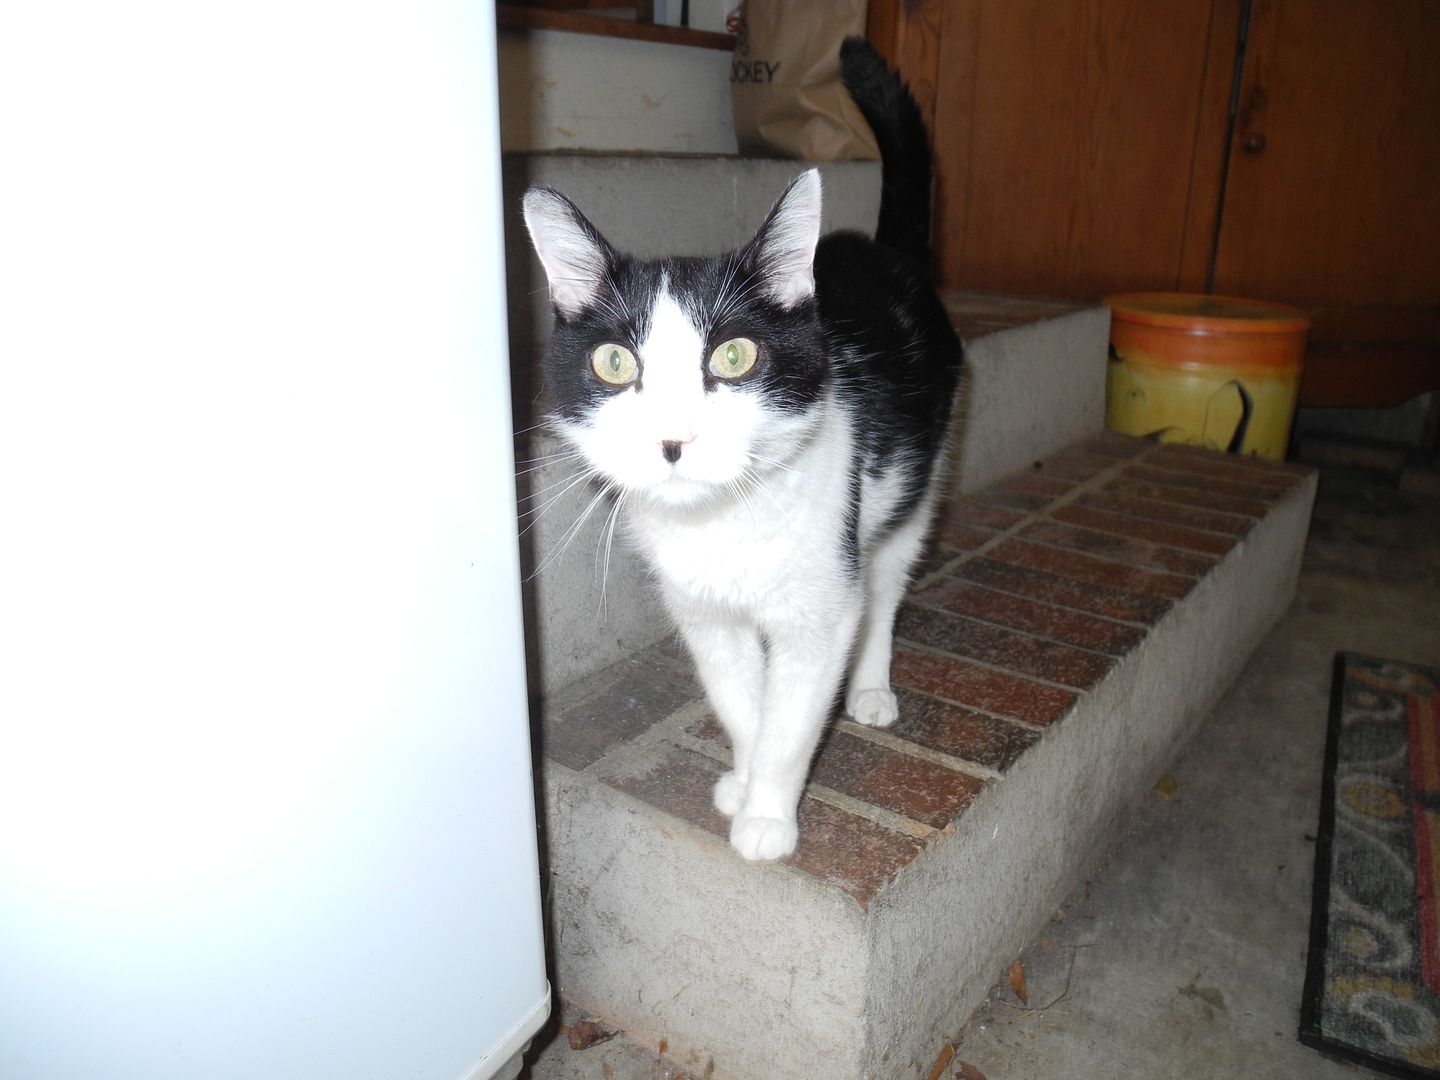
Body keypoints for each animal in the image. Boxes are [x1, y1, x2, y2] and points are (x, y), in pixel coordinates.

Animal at [524, 40, 961, 864]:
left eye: (734, 357)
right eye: (614, 364)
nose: (675, 439)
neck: (724, 524)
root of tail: (883, 253)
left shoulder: (822, 600)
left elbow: (797, 711)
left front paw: (768, 816)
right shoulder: (701, 611)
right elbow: (738, 695)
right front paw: (744, 774)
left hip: (919, 474)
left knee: (888, 581)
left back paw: (871, 687)